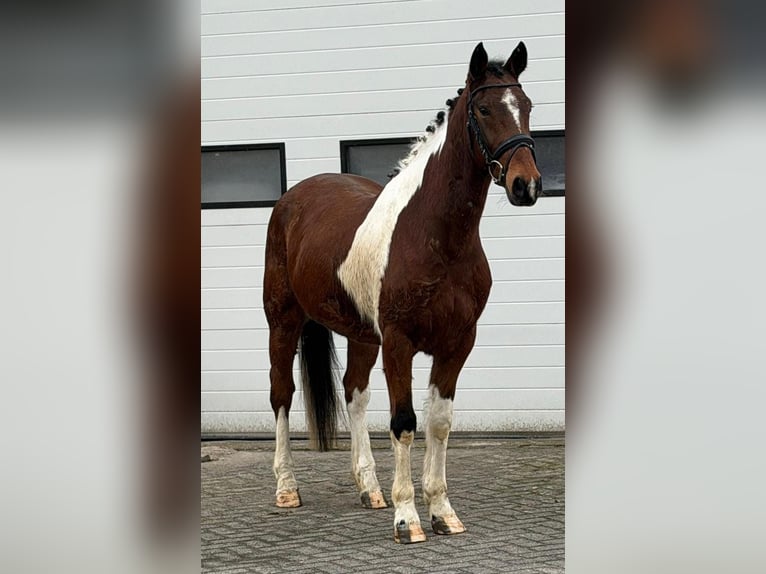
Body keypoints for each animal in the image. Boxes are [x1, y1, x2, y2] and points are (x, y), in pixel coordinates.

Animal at [263, 41, 542, 544]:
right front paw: (407, 519)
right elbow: (404, 423)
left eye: (526, 106)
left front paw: (443, 512)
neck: (434, 235)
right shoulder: (399, 342)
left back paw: (370, 489)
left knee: (353, 394)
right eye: (485, 109)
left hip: (360, 336)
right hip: (283, 322)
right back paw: (287, 488)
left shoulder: (457, 343)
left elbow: (439, 423)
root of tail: (291, 200)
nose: (525, 185)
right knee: (281, 394)